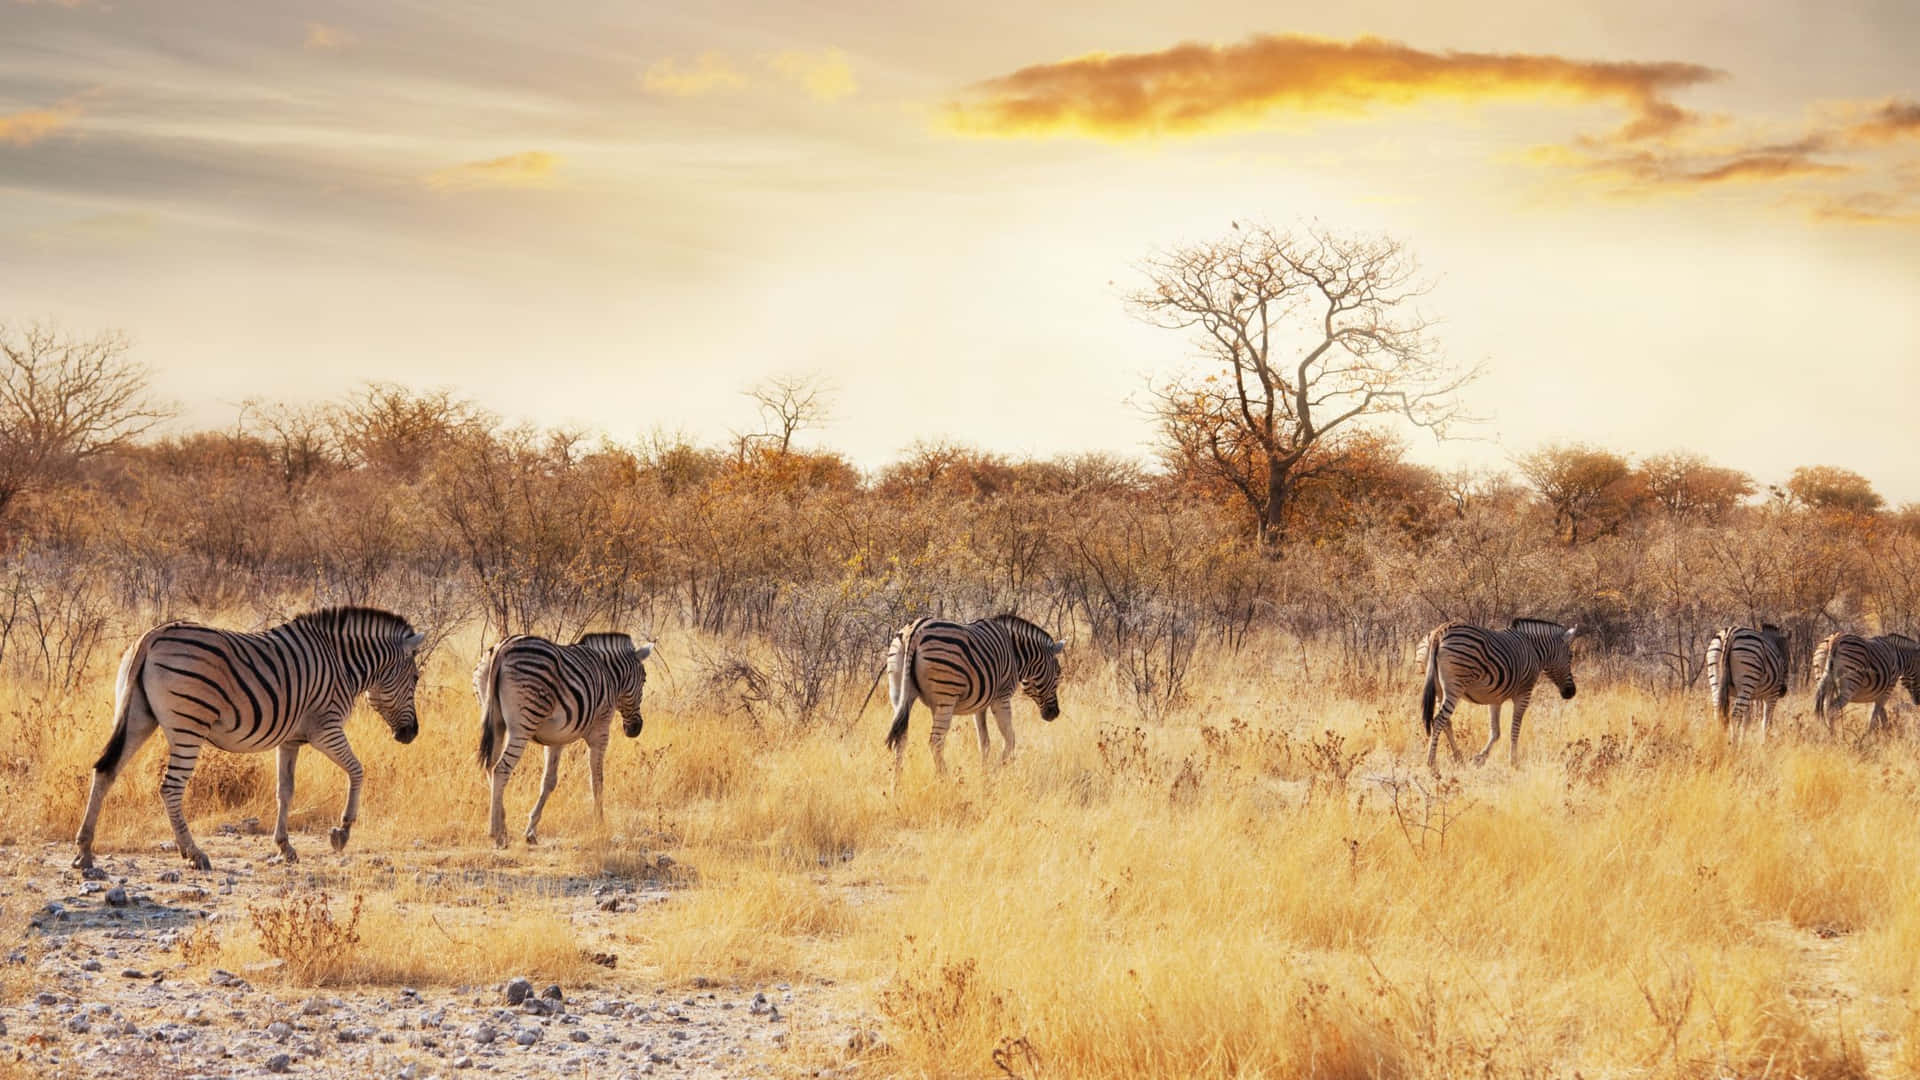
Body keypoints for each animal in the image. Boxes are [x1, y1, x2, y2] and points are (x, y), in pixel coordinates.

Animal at [74, 607, 426, 871]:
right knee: (170, 788)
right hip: (189, 725)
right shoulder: (325, 728)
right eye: (415, 678)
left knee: (105, 771)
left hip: (138, 717)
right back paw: (194, 853)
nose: (411, 735)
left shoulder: (291, 739)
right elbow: (357, 771)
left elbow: (285, 791)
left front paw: (285, 847)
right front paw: (342, 832)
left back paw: (85, 851)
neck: (342, 664)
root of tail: (153, 635)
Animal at [475, 632, 653, 847]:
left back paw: (503, 826)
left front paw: (531, 831)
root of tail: (503, 647)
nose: (635, 729)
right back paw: (497, 833)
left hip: (495, 720)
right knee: (501, 769)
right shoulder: (601, 731)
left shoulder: (556, 739)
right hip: (522, 725)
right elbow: (597, 778)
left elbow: (549, 781)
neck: (610, 675)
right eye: (644, 680)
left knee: (490, 766)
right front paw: (599, 823)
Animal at [885, 613, 1065, 777]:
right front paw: (996, 772)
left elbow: (984, 742)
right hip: (947, 697)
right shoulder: (1002, 697)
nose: (1055, 714)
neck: (1015, 653)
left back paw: (896, 784)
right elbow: (1010, 739)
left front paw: (984, 774)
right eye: (1058, 675)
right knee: (935, 742)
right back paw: (945, 780)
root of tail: (914, 631)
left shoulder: (980, 704)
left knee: (900, 740)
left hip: (899, 693)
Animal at [1419, 618, 1578, 770]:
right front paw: (1513, 762)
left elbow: (1496, 732)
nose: (1572, 692)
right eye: (1570, 656)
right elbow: (1515, 729)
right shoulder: (1524, 694)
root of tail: (1439, 632)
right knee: (1438, 720)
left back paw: (1458, 757)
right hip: (1455, 686)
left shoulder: (1495, 697)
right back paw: (1431, 763)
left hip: (1439, 689)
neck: (1534, 650)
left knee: (1446, 722)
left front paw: (1480, 758)